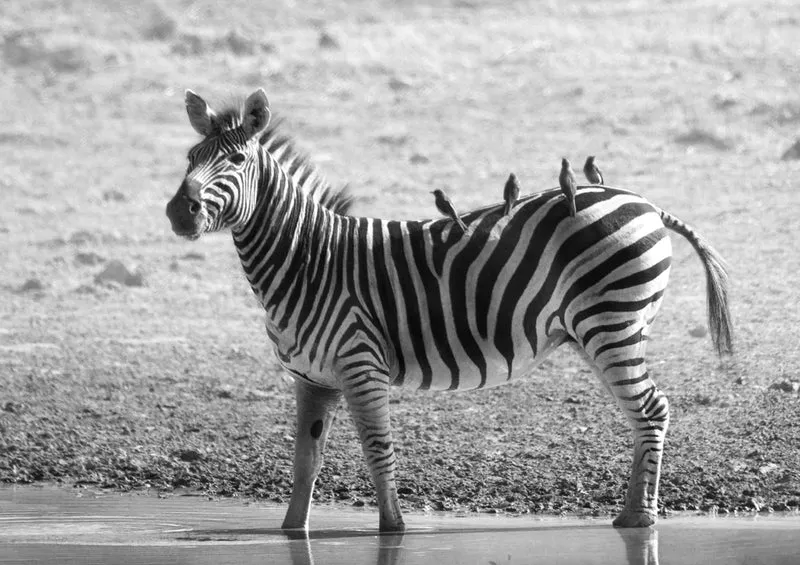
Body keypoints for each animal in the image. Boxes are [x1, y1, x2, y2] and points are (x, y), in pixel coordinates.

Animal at [166, 88, 733, 532]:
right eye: (191, 156)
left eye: (237, 162)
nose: (178, 211)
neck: (308, 259)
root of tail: (644, 203)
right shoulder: (312, 378)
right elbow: (306, 461)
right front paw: (291, 531)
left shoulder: (360, 365)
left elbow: (377, 449)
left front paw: (393, 528)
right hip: (602, 331)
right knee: (643, 412)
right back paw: (632, 515)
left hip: (612, 324)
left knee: (652, 408)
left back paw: (640, 517)